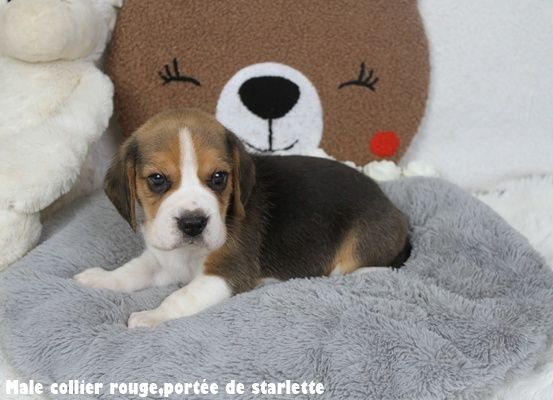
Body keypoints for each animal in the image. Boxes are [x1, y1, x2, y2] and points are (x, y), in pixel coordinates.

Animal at [74, 109, 410, 328]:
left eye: (219, 178)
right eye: (157, 179)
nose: (193, 223)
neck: (188, 254)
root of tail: (392, 207)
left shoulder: (226, 274)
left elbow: (180, 297)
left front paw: (153, 316)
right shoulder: (161, 260)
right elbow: (130, 272)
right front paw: (101, 278)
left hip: (360, 244)